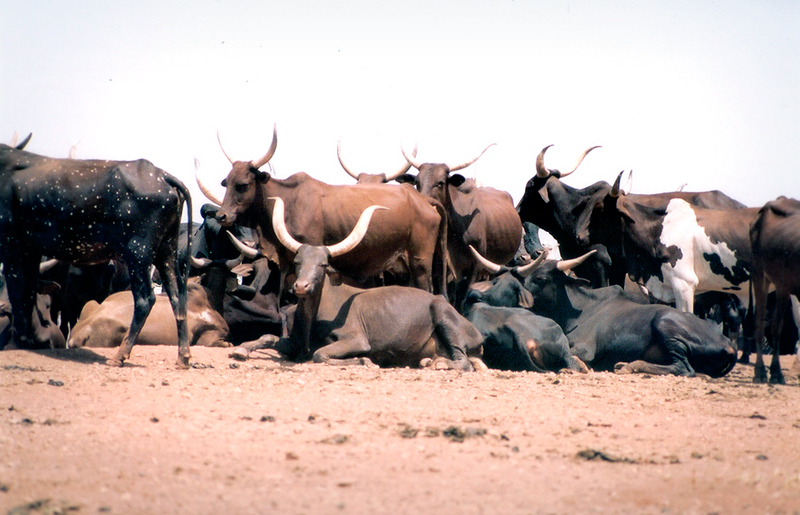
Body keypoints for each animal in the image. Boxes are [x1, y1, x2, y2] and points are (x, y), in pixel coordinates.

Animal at [0, 139, 192, 368]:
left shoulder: (13, 244)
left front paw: (21, 340)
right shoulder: (30, 250)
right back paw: (183, 356)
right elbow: (27, 292)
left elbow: (18, 291)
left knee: (146, 299)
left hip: (138, 252)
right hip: (166, 249)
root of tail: (162, 175)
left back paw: (120, 355)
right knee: (177, 296)